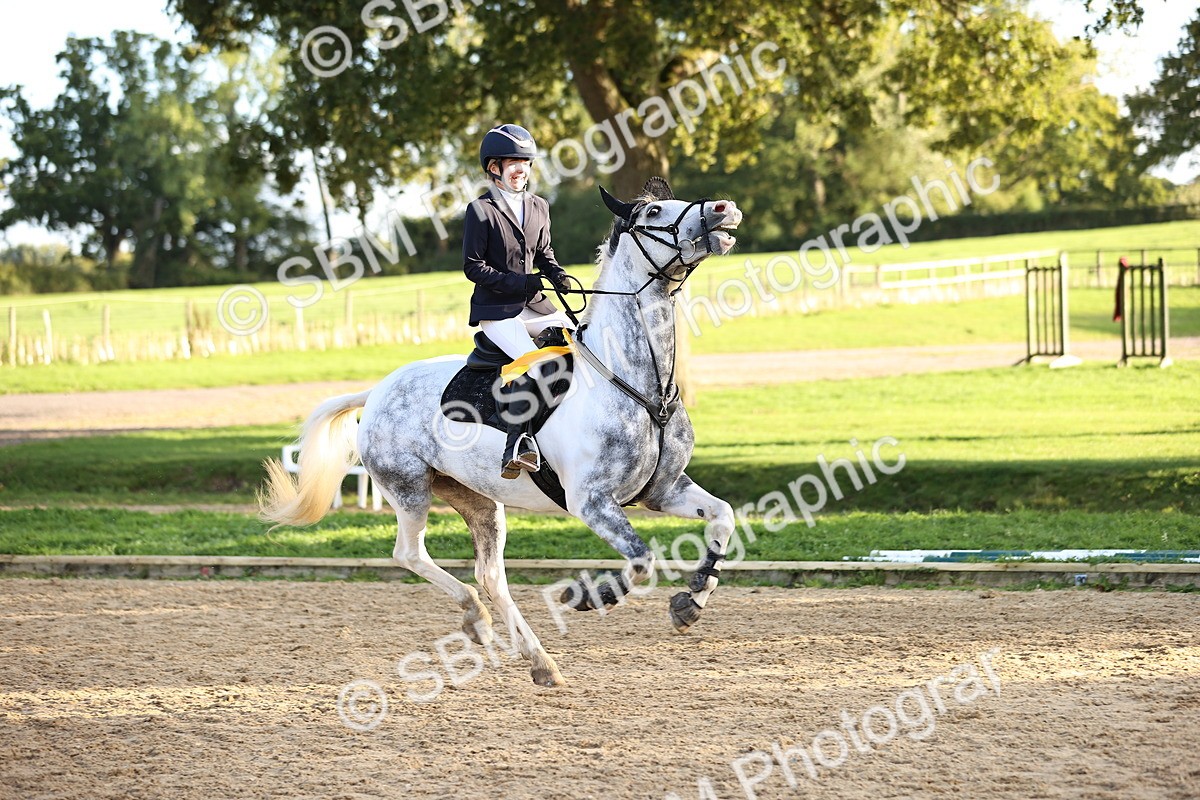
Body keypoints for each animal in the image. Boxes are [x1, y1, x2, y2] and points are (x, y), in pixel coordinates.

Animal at [259, 177, 742, 687]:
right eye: (652, 212)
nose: (724, 209)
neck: (637, 382)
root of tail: (376, 392)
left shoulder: (663, 490)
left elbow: (722, 516)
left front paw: (691, 601)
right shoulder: (591, 501)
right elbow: (641, 559)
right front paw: (591, 597)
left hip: (478, 500)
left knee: (490, 575)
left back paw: (536, 659)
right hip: (409, 489)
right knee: (410, 554)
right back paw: (479, 620)